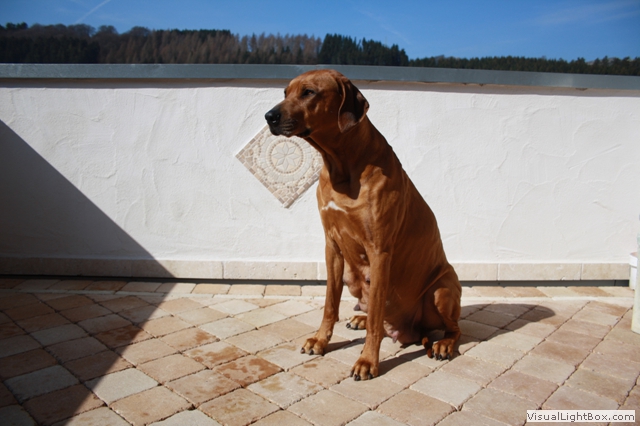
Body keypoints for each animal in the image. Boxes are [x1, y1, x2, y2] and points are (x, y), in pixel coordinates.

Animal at [265, 69, 461, 380]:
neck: (341, 165)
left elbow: (375, 322)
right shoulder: (332, 246)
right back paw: (358, 317)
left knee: (454, 328)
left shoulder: (379, 252)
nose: (269, 116)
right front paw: (320, 340)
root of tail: (410, 331)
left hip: (442, 289)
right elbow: (329, 304)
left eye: (308, 92)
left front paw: (367, 360)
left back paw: (443, 344)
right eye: (285, 92)